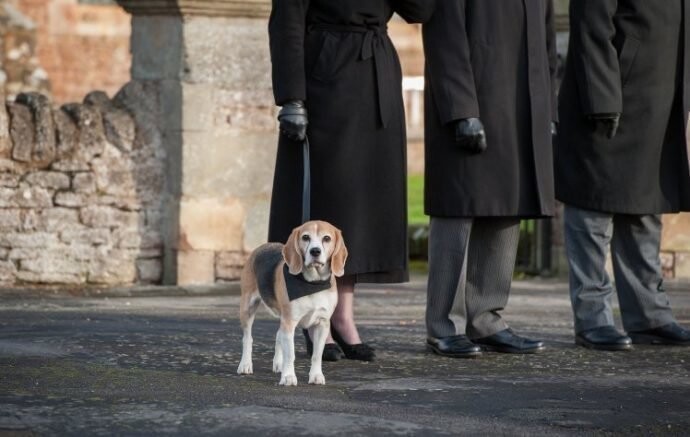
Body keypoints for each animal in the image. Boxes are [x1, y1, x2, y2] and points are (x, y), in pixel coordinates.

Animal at [236, 221, 346, 384]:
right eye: (305, 237)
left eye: (327, 238)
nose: (315, 251)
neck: (312, 283)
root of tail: (263, 246)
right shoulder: (289, 322)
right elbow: (290, 354)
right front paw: (288, 377)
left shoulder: (322, 324)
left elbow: (316, 355)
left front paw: (316, 375)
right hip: (247, 307)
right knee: (247, 338)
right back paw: (245, 365)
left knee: (278, 336)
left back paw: (278, 364)